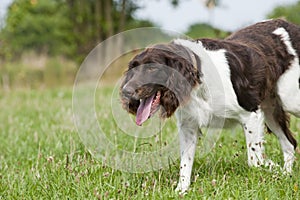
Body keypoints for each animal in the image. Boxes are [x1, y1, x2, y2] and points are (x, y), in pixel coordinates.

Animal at [120, 19, 300, 194]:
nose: (125, 91)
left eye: (152, 68)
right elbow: (185, 163)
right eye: (133, 68)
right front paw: (181, 190)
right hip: (271, 108)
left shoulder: (250, 115)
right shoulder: (188, 126)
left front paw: (271, 167)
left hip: (289, 99)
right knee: (289, 144)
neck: (197, 82)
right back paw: (287, 173)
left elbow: (254, 160)